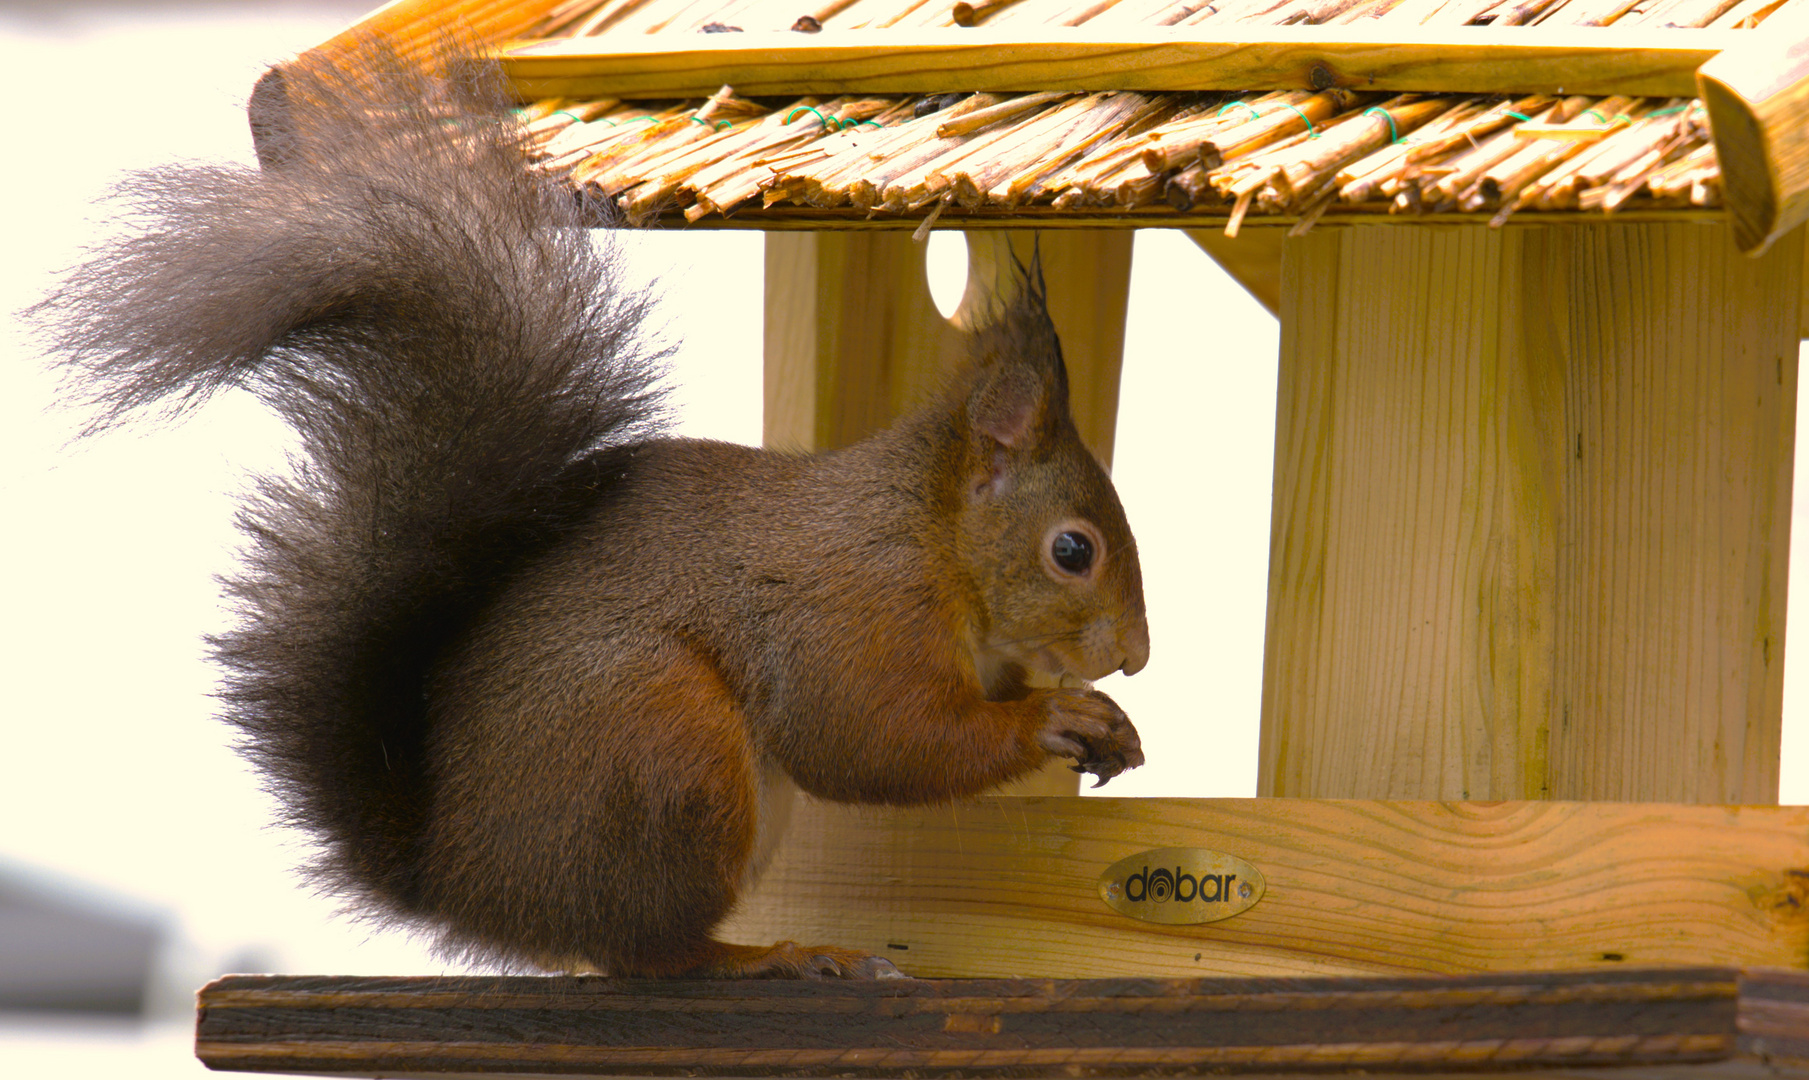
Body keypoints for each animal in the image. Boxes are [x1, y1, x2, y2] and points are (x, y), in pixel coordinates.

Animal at [31, 48, 1143, 976]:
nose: (1134, 656)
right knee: (654, 954)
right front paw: (1055, 718)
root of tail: (465, 888)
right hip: (662, 744)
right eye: (1072, 549)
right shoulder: (857, 607)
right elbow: (872, 738)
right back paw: (770, 957)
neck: (934, 538)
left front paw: (1112, 725)